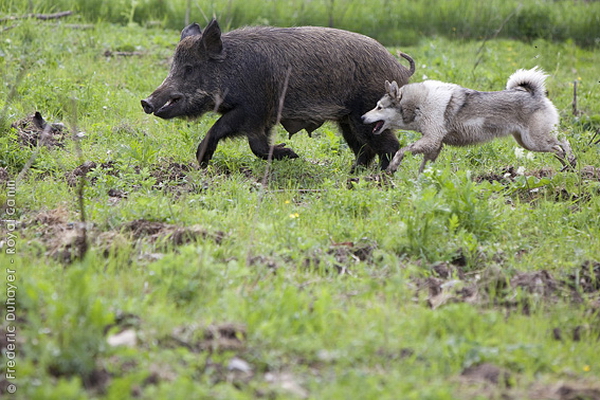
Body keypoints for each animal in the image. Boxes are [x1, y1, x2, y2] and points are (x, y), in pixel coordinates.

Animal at [360, 67, 576, 173]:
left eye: (379, 107)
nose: (362, 117)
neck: (419, 104)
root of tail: (535, 93)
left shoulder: (430, 139)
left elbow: (402, 151)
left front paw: (392, 167)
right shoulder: (434, 144)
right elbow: (424, 165)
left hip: (535, 141)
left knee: (562, 143)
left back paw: (570, 162)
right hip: (526, 142)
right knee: (560, 145)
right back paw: (568, 166)